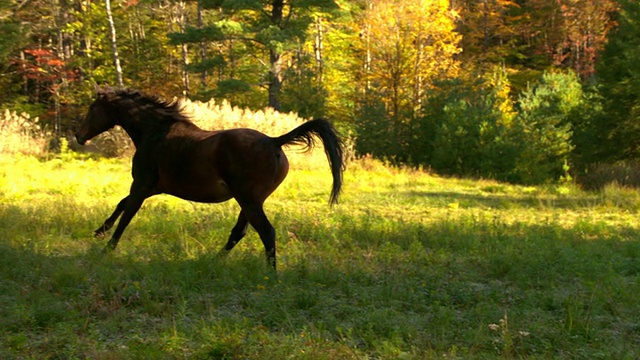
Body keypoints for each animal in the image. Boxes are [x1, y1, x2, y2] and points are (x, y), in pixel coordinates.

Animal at [75, 86, 344, 270]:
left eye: (91, 108)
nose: (79, 135)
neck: (155, 132)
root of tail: (274, 141)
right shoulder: (154, 187)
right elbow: (122, 204)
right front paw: (99, 231)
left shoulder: (142, 184)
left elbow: (127, 214)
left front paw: (105, 249)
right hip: (250, 201)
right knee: (239, 233)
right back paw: (214, 261)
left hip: (249, 200)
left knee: (266, 232)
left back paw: (270, 275)